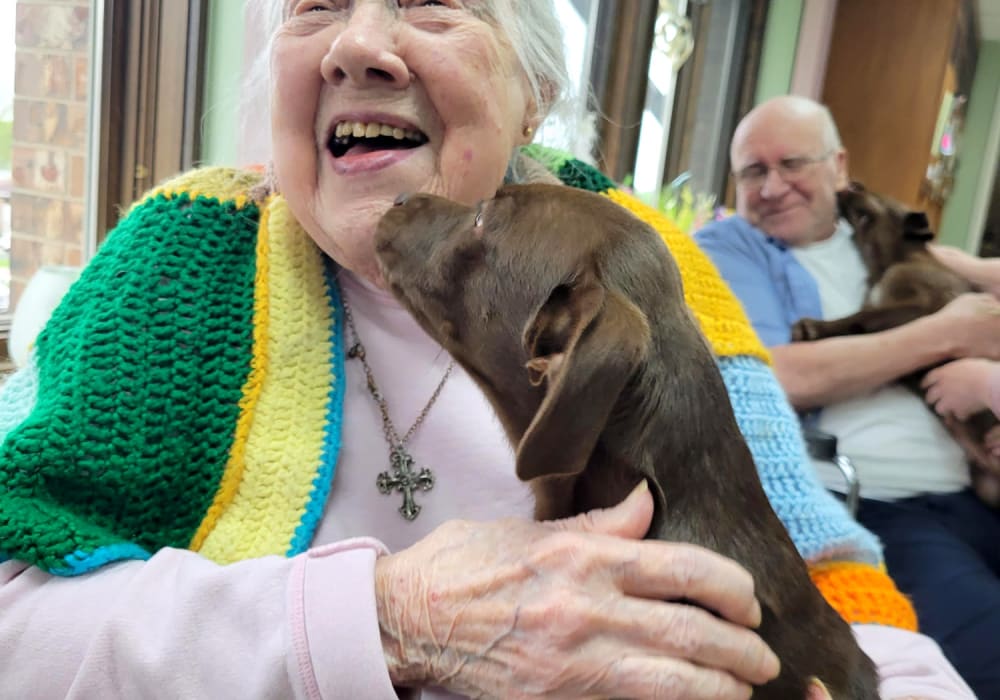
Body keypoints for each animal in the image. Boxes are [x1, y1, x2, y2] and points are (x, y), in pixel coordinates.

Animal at [788, 183, 1000, 506]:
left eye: (866, 190)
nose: (850, 183)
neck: (889, 262)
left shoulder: (923, 309)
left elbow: (861, 318)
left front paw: (814, 327)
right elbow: (865, 324)